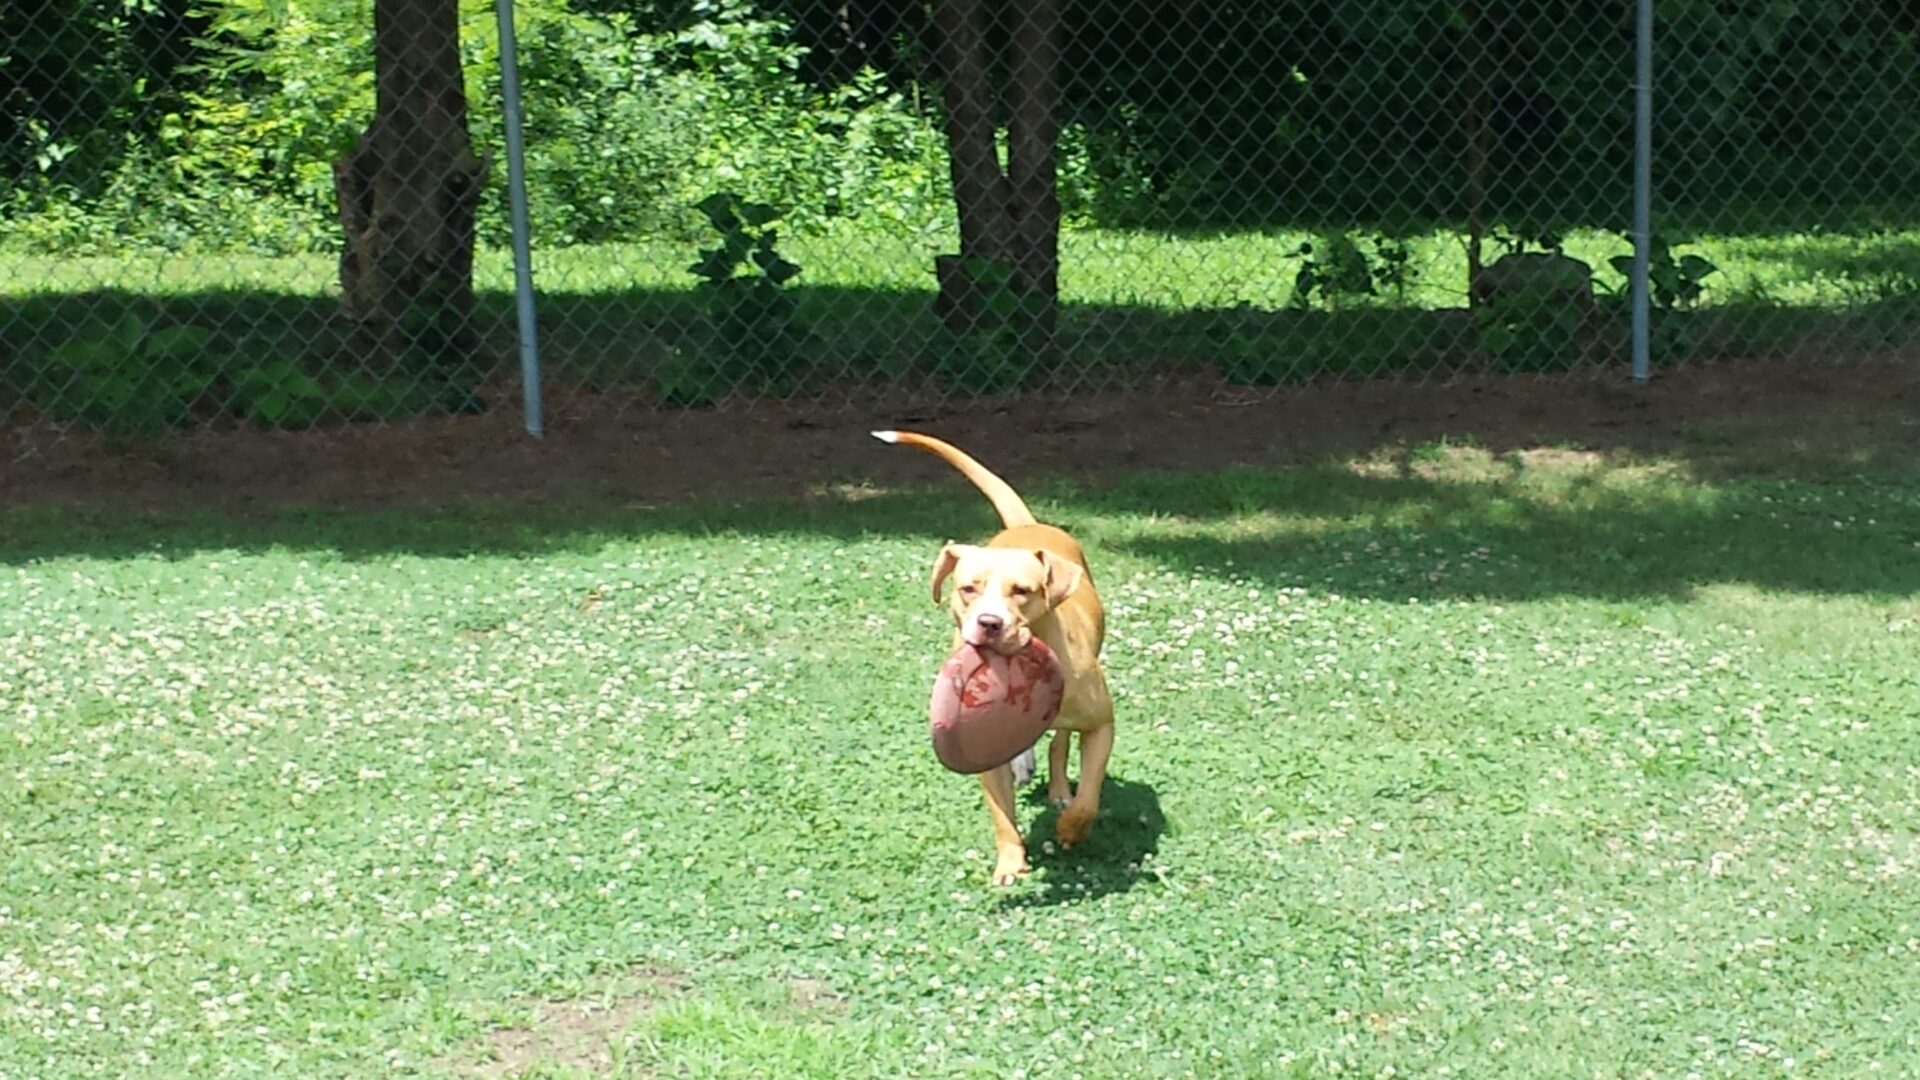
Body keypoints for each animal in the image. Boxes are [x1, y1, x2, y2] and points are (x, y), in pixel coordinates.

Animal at [871, 428, 1113, 883]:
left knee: (1059, 745)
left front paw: (1071, 827)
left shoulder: (1101, 724)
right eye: (968, 588)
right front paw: (1010, 863)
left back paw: (1058, 791)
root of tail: (1027, 525)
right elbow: (1002, 815)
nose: (989, 623)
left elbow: (1089, 794)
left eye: (1022, 591)